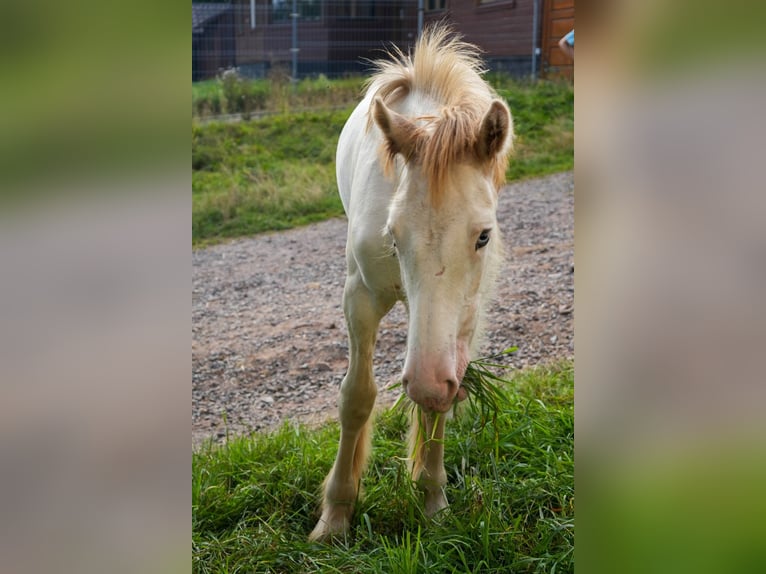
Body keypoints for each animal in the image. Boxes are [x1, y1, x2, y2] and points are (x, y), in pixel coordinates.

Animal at [310, 23, 516, 544]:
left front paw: (432, 501)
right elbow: (356, 398)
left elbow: (437, 402)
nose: (424, 379)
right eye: (393, 235)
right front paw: (335, 516)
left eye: (484, 235)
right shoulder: (359, 299)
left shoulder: (463, 319)